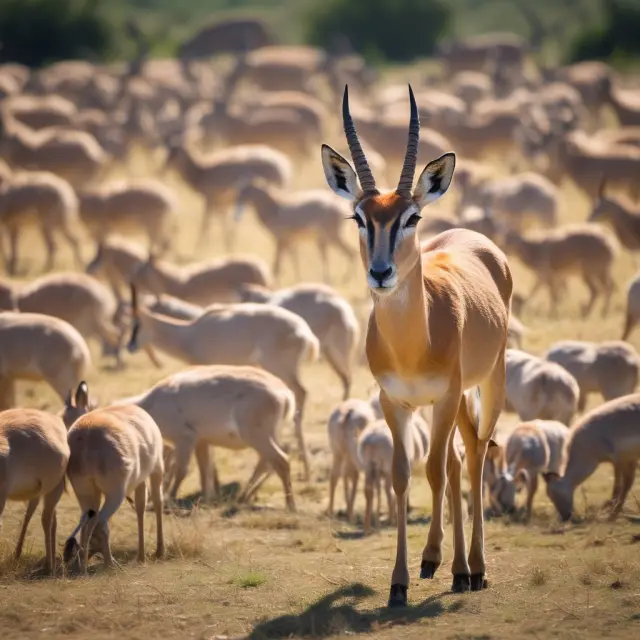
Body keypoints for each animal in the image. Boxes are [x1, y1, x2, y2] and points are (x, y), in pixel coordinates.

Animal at [320, 86, 512, 605]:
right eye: (359, 217)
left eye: (412, 216)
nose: (381, 272)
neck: (412, 343)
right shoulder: (396, 401)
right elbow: (404, 475)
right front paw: (401, 581)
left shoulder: (443, 398)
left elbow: (437, 472)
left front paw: (447, 567)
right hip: (450, 401)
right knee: (458, 456)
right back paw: (448, 564)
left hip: (486, 384)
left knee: (475, 453)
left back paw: (475, 569)